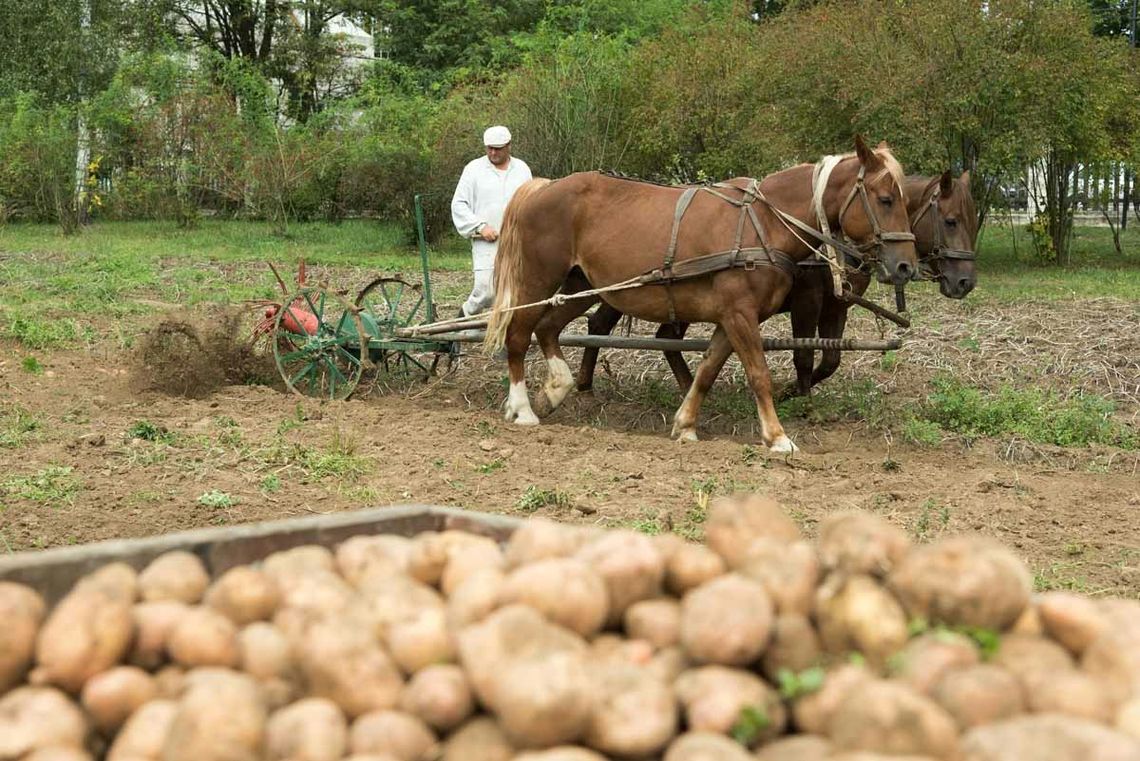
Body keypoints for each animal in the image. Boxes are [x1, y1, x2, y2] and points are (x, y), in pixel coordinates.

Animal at [481, 136, 916, 451]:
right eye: (885, 199)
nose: (905, 266)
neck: (763, 223)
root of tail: (541, 188)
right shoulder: (740, 314)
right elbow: (759, 373)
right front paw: (778, 437)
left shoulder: (732, 317)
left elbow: (707, 370)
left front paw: (685, 424)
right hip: (537, 280)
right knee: (518, 335)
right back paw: (522, 409)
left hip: (582, 285)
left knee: (549, 328)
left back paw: (556, 389)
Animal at [579, 172, 980, 396]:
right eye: (950, 220)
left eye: (973, 220)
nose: (965, 281)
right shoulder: (807, 301)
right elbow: (803, 354)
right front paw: (797, 395)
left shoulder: (836, 307)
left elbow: (831, 359)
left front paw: (799, 391)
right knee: (606, 325)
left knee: (651, 334)